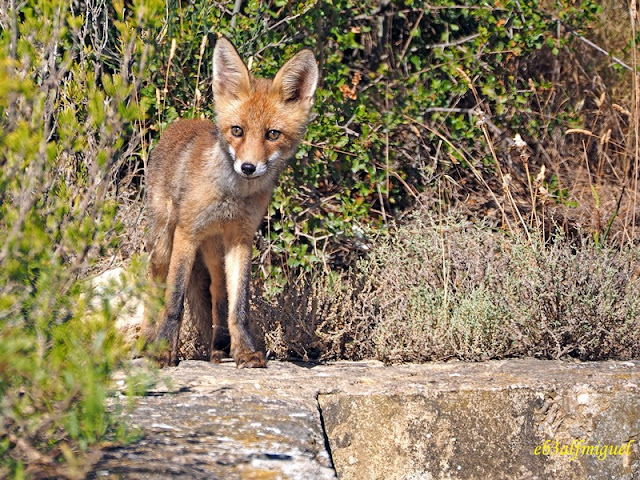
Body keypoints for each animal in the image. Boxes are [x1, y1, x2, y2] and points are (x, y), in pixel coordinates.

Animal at [144, 37, 318, 368]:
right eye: (237, 130)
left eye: (272, 134)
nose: (248, 167)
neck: (232, 196)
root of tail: (178, 125)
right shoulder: (187, 232)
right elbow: (174, 303)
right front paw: (163, 352)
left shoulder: (241, 238)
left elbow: (239, 306)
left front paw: (246, 351)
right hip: (164, 242)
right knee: (155, 287)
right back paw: (146, 342)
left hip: (215, 252)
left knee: (218, 295)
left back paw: (218, 349)